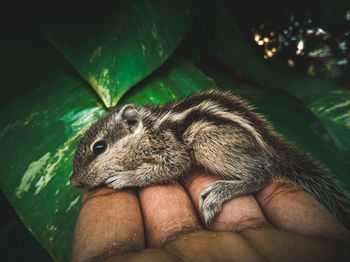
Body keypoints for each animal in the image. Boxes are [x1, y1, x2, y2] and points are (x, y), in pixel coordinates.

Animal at [70, 89, 350, 228]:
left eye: (99, 147)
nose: (73, 182)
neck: (147, 130)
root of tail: (268, 143)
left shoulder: (171, 148)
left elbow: (172, 166)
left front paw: (123, 177)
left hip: (206, 143)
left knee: (263, 174)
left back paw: (220, 191)